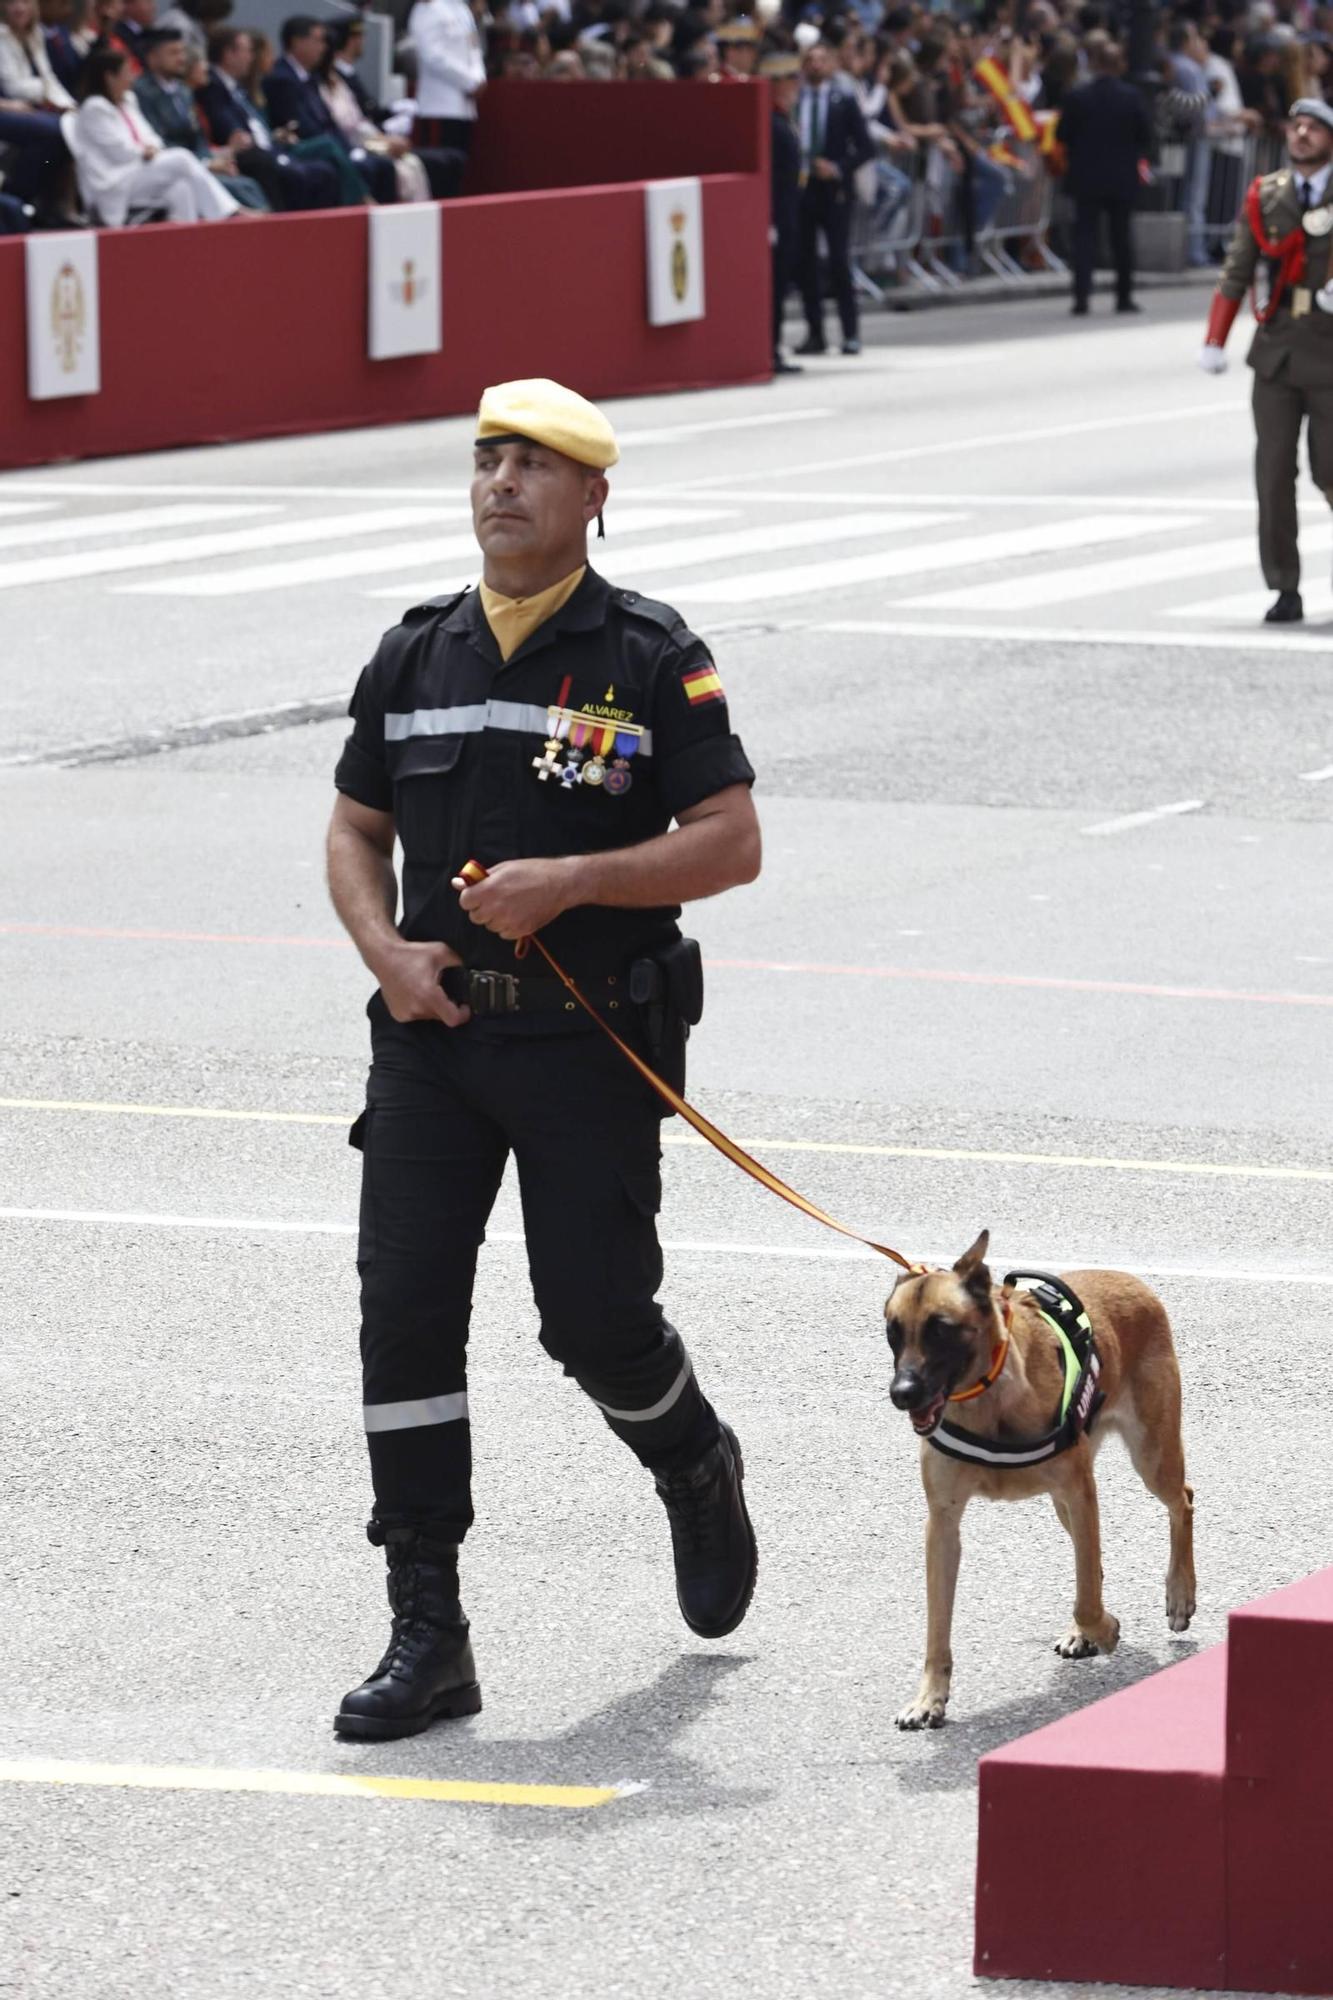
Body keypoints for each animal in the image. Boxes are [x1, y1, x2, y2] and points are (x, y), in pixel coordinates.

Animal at [880, 1224, 1192, 1728]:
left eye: (941, 1330)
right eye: (893, 1333)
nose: (901, 1393)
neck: (988, 1398)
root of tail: (1130, 1280)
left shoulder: (1081, 1492)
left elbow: (1086, 1598)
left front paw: (1105, 1629)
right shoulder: (943, 1525)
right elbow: (937, 1626)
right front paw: (929, 1697)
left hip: (1150, 1459)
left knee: (1182, 1500)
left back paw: (1180, 1595)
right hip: (1065, 1504)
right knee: (1093, 1562)